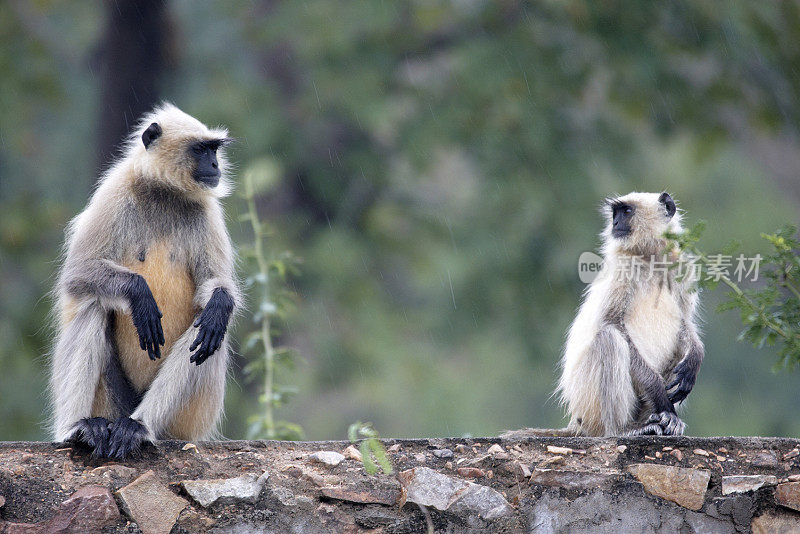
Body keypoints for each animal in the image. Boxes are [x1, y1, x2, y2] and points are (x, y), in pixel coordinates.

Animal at [50, 104, 241, 460]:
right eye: (201, 150)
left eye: (214, 149)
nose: (215, 165)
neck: (164, 193)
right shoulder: (113, 193)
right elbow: (77, 275)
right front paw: (140, 296)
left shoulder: (208, 211)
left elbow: (216, 289)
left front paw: (221, 302)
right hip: (110, 402)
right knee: (95, 307)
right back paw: (80, 429)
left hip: (189, 419)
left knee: (209, 331)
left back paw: (139, 428)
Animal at [556, 195, 708, 438]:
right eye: (615, 213)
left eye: (626, 211)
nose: (615, 223)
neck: (651, 259)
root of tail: (576, 423)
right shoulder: (622, 268)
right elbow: (610, 322)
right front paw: (658, 392)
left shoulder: (683, 268)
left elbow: (685, 321)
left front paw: (694, 359)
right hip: (588, 401)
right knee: (608, 338)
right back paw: (625, 429)